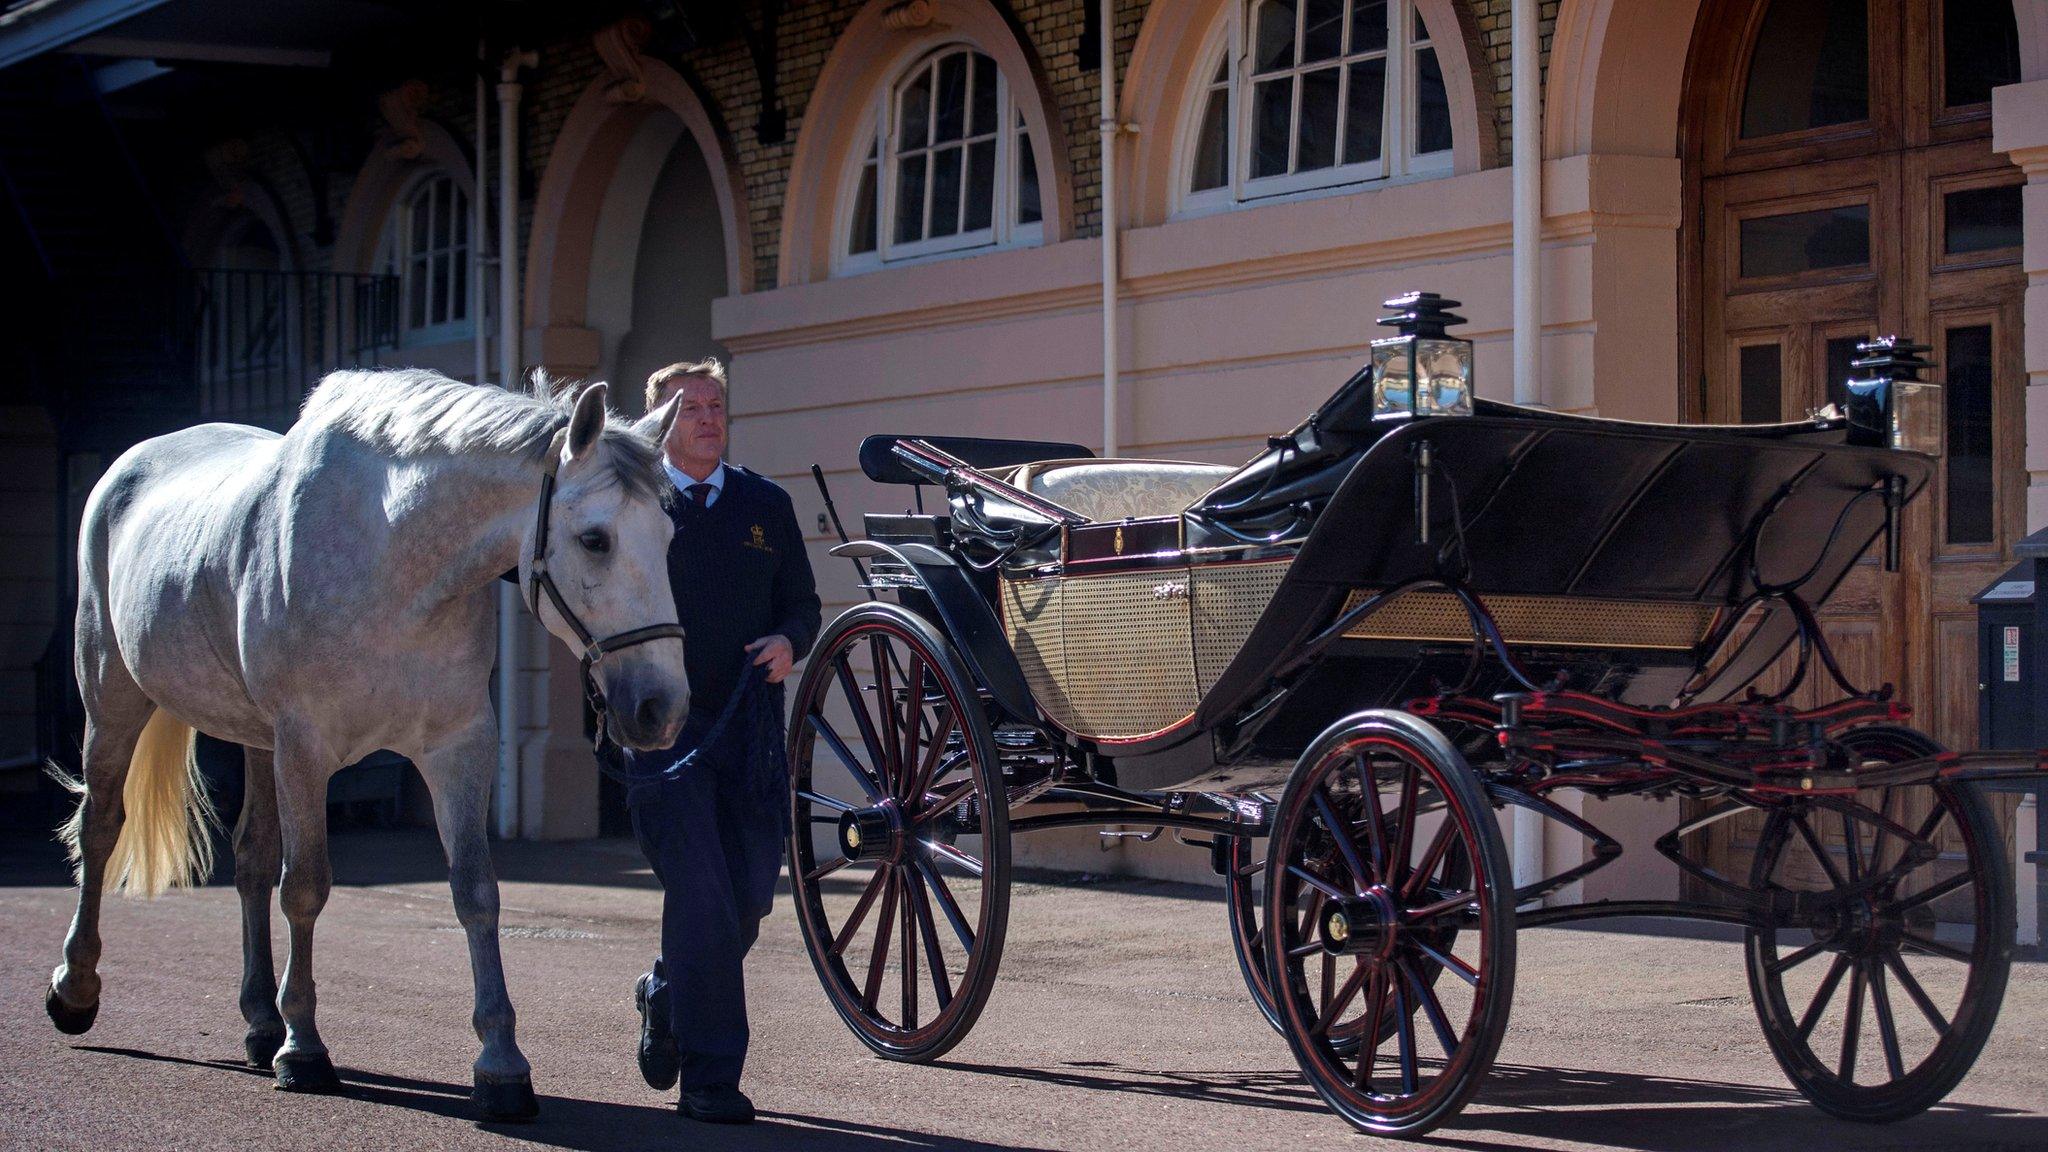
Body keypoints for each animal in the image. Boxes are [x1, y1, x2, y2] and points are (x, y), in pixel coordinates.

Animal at [41, 364, 688, 1115]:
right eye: (595, 539)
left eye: (668, 537)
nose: (662, 707)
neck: (391, 559)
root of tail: (130, 464)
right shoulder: (305, 748)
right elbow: (306, 888)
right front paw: (305, 1050)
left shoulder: (459, 748)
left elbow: (476, 892)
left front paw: (501, 1064)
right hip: (114, 699)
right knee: (100, 828)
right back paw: (76, 988)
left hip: (256, 740)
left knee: (250, 859)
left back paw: (260, 1021)